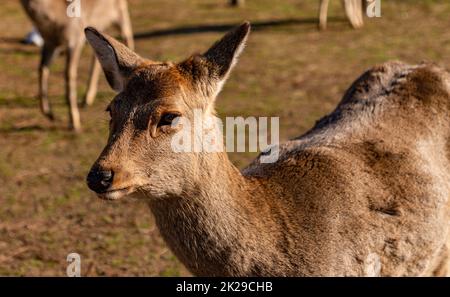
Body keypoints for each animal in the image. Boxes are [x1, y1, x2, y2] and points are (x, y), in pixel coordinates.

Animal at [20, 0, 134, 132]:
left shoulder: (75, 39)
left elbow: (69, 74)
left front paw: (74, 123)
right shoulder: (50, 43)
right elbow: (42, 69)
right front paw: (49, 113)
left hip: (121, 13)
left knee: (128, 39)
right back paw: (87, 99)